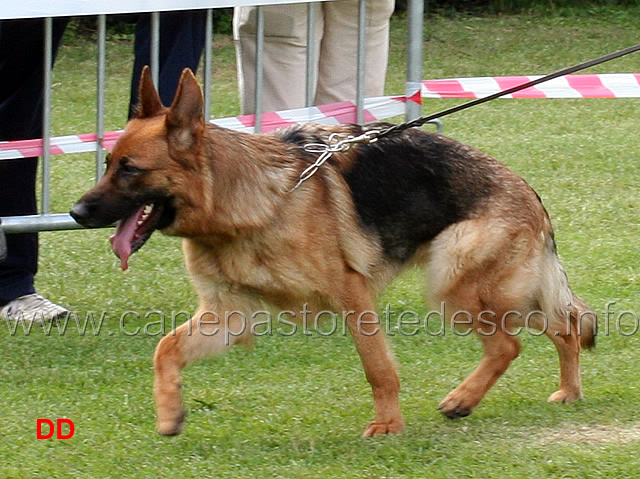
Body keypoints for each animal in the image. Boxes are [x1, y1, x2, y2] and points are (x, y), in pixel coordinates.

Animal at [70, 67, 596, 438]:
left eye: (130, 170)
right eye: (107, 163)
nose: (75, 212)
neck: (248, 205)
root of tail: (527, 190)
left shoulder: (351, 294)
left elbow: (378, 367)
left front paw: (388, 425)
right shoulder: (226, 316)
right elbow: (165, 349)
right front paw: (170, 412)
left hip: (454, 285)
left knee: (511, 343)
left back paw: (463, 399)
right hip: (494, 290)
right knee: (564, 326)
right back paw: (567, 390)